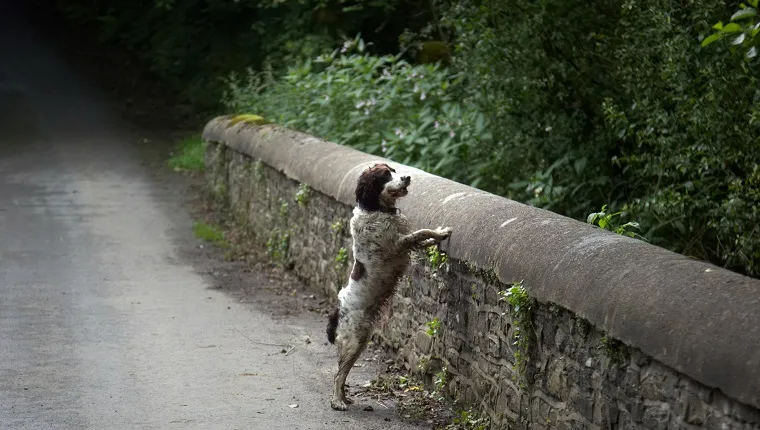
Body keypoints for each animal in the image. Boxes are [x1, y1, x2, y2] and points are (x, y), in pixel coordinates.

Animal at [326, 164, 452, 410]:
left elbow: (422, 239)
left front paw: (437, 237)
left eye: (393, 169)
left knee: (343, 373)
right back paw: (337, 401)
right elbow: (421, 233)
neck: (377, 209)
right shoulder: (397, 244)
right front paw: (440, 232)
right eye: (385, 175)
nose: (407, 176)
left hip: (361, 339)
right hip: (353, 341)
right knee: (338, 375)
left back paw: (345, 397)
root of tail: (337, 312)